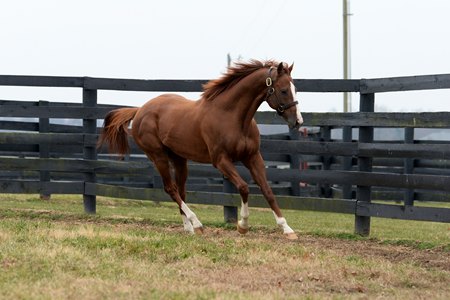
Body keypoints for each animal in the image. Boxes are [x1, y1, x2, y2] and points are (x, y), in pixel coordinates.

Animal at [97, 59, 304, 240]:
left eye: (295, 89)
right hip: (158, 156)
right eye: (284, 90)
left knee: (180, 191)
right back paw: (197, 224)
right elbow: (244, 188)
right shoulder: (221, 160)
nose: (298, 121)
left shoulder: (253, 157)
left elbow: (267, 191)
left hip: (179, 159)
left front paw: (288, 230)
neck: (231, 116)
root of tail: (140, 110)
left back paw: (189, 229)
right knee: (171, 189)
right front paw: (242, 226)